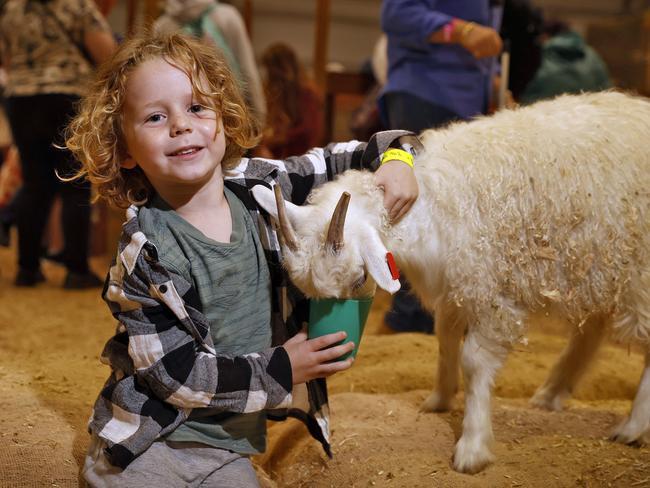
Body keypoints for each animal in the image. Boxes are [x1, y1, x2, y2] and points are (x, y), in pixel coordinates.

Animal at [251, 90, 648, 472]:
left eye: (361, 275)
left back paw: (631, 428)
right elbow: (444, 339)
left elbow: (473, 360)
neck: (430, 205)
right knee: (592, 329)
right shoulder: (455, 285)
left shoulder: (489, 291)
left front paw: (472, 446)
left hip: (637, 274)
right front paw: (439, 399)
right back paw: (552, 393)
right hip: (599, 264)